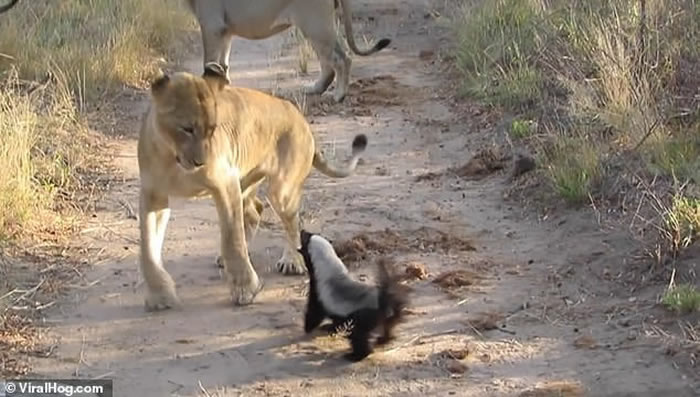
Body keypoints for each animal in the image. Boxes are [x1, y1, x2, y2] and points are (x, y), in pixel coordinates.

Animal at [135, 62, 366, 310]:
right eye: (187, 128)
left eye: (212, 128)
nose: (200, 162)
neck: (171, 156)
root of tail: (299, 117)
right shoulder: (154, 194)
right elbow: (148, 249)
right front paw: (160, 296)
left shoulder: (225, 184)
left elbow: (232, 240)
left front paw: (246, 290)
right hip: (245, 179)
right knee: (255, 210)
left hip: (280, 190)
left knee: (293, 221)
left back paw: (292, 261)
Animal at [186, 0, 392, 102]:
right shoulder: (224, 30)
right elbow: (223, 62)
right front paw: (225, 85)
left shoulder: (212, 26)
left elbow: (210, 62)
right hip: (317, 26)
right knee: (328, 61)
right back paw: (315, 89)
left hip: (315, 23)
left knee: (342, 58)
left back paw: (338, 96)